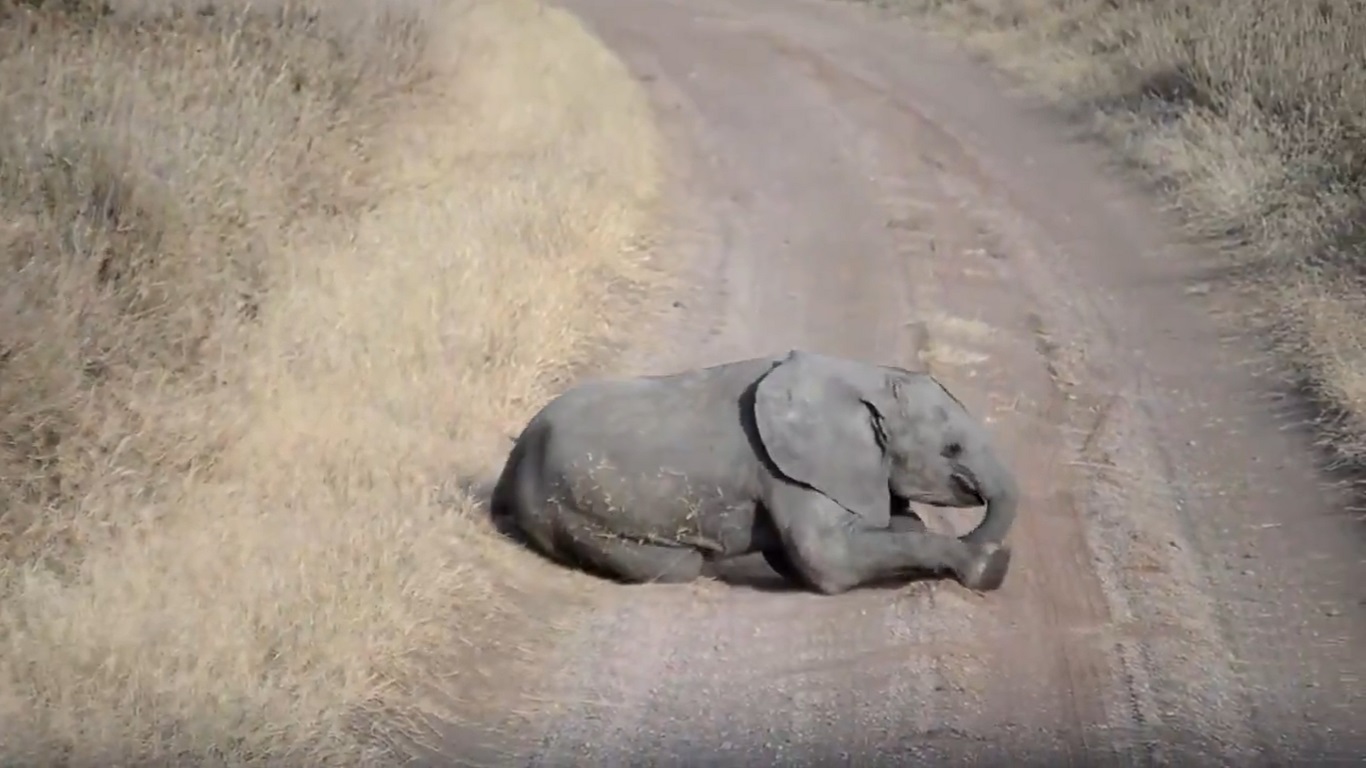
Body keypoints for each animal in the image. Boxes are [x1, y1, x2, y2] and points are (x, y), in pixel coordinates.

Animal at [489, 347, 1016, 593]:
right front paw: (987, 568)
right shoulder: (786, 467)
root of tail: (510, 463)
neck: (865, 378)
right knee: (678, 566)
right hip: (565, 509)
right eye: (952, 448)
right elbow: (828, 558)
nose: (997, 549)